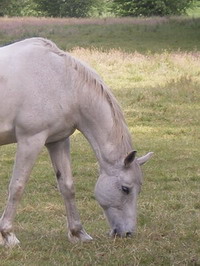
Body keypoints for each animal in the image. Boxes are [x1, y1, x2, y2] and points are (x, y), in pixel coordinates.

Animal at [0, 38, 153, 247]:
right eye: (125, 189)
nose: (127, 233)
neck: (64, 82)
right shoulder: (30, 140)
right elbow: (17, 186)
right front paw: (8, 235)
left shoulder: (58, 141)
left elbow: (67, 186)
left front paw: (78, 232)